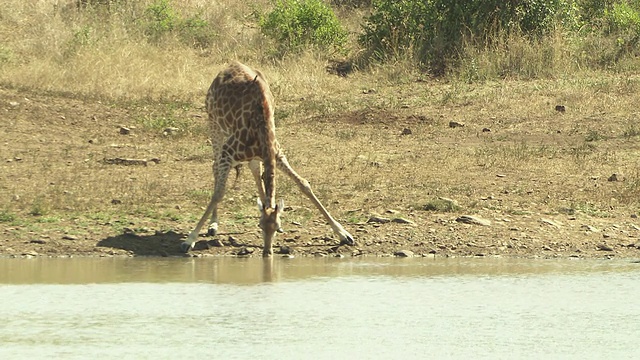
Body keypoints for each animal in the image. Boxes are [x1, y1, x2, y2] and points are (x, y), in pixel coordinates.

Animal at [182, 62, 356, 258]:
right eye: (259, 226)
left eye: (277, 227)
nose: (267, 252)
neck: (262, 124)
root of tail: (229, 65)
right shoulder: (229, 152)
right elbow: (219, 193)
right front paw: (190, 240)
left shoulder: (277, 153)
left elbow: (304, 184)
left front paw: (344, 234)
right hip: (214, 125)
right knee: (215, 167)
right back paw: (213, 225)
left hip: (251, 152)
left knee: (254, 169)